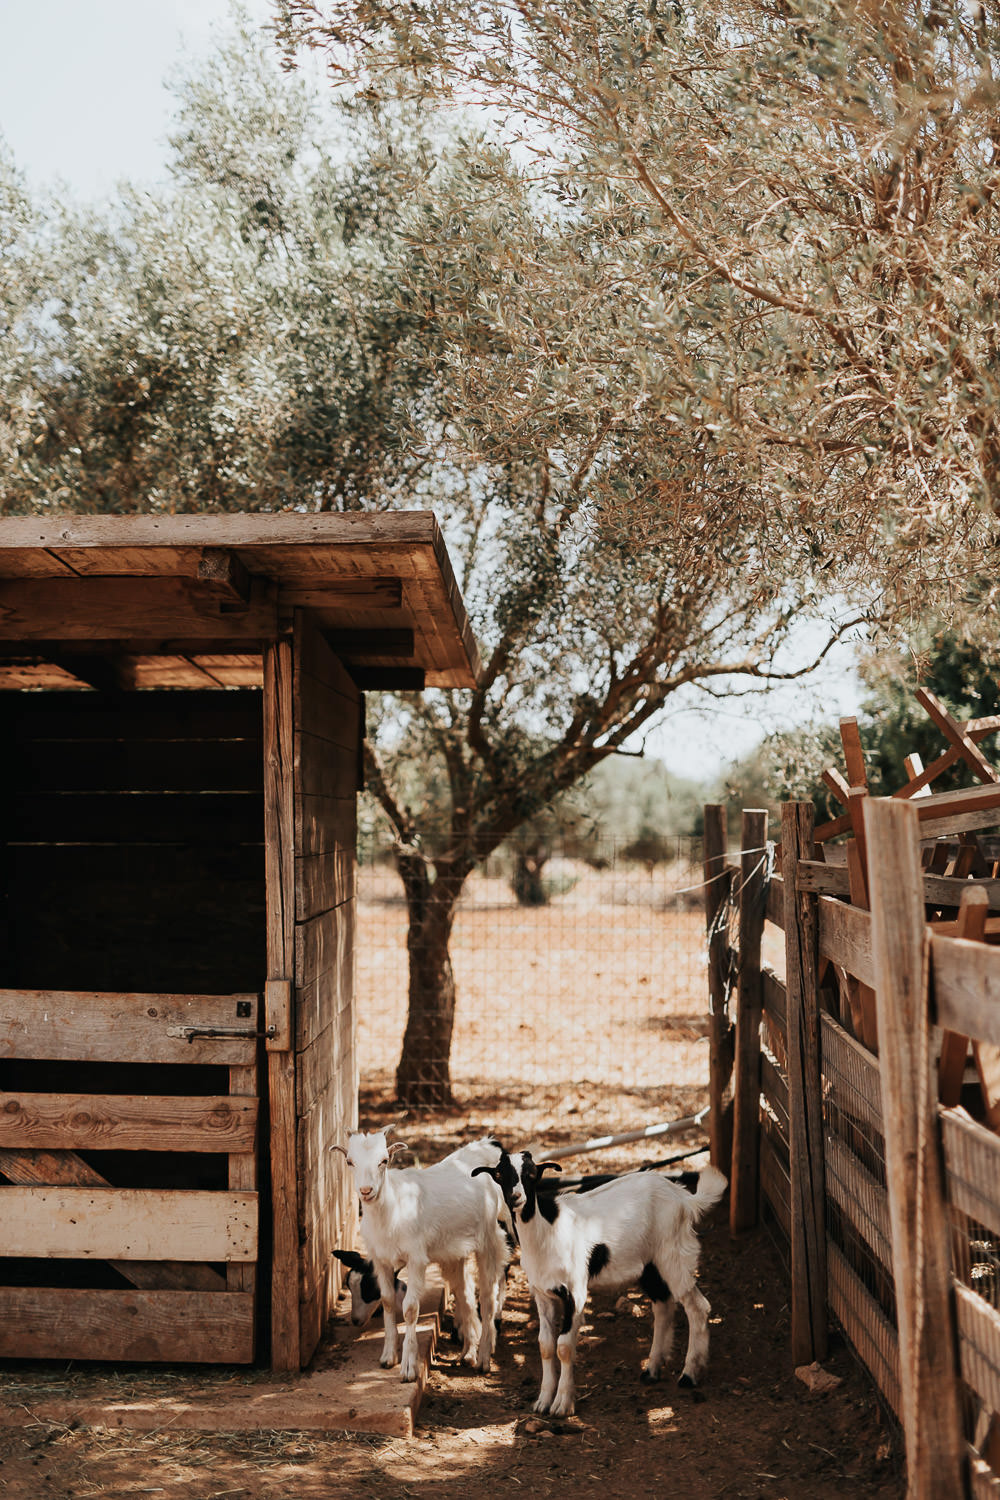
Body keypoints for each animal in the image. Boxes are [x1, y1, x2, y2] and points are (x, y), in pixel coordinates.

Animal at [334, 1128, 512, 1380]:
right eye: (350, 1161)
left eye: (384, 1161)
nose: (366, 1191)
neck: (392, 1210)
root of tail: (490, 1144)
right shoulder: (381, 1260)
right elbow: (388, 1301)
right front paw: (388, 1357)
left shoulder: (416, 1258)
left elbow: (410, 1308)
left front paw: (409, 1368)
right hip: (454, 1251)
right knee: (465, 1294)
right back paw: (468, 1352)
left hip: (490, 1241)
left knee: (487, 1296)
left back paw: (484, 1359)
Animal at [476, 1146, 728, 1416]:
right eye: (500, 1174)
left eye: (532, 1174)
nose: (516, 1197)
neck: (547, 1231)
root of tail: (684, 1198)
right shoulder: (542, 1293)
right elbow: (545, 1345)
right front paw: (543, 1401)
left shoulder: (575, 1292)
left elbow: (564, 1346)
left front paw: (562, 1405)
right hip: (650, 1266)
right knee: (663, 1305)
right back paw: (652, 1370)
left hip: (674, 1255)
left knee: (697, 1307)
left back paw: (689, 1374)